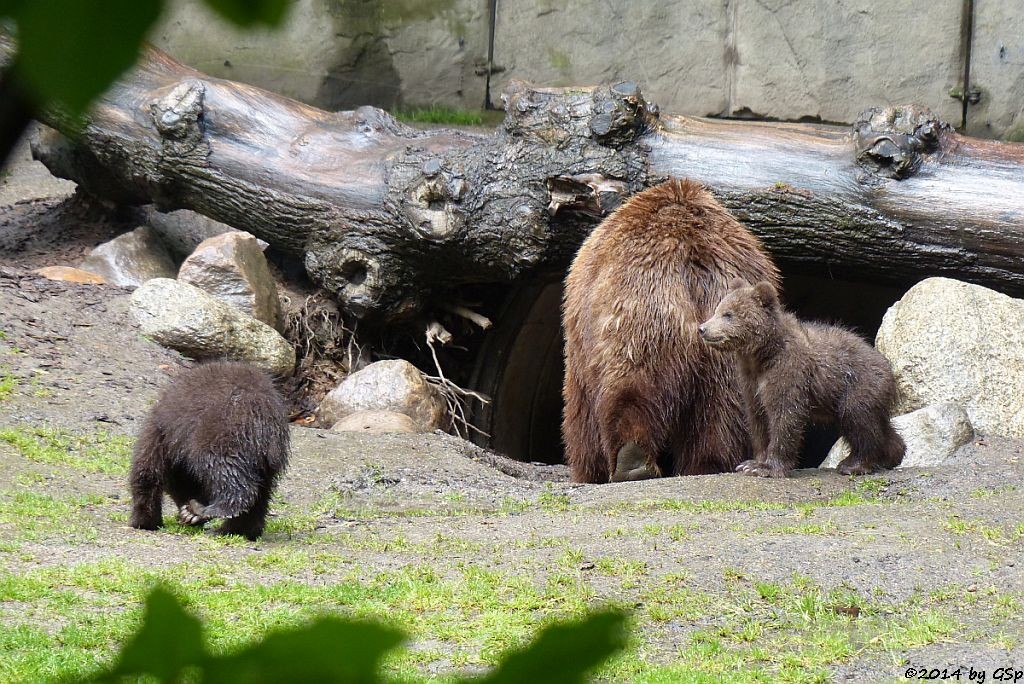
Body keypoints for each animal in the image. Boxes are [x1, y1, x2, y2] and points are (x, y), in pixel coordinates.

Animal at [561, 179, 774, 483]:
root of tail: (689, 260)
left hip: (640, 311)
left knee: (632, 381)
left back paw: (632, 461)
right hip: (728, 342)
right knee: (723, 411)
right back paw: (707, 464)